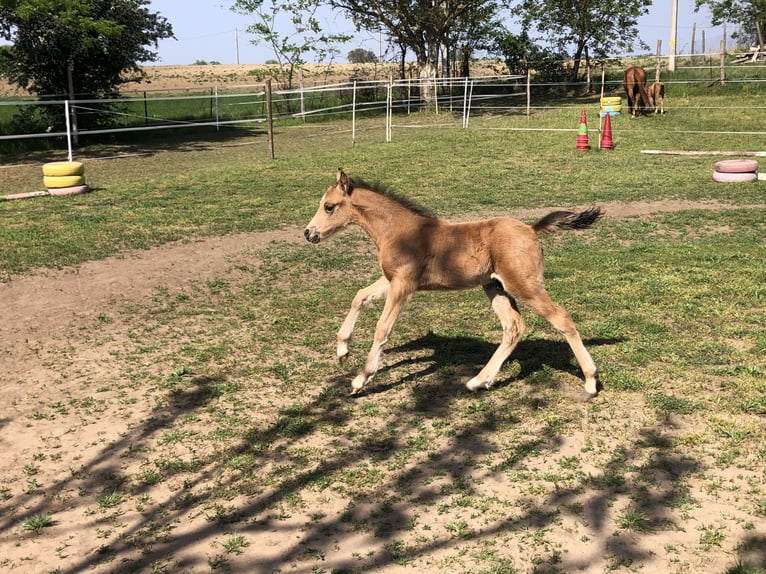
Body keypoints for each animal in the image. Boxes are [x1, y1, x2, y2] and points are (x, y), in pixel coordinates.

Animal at [304, 169, 604, 398]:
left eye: (329, 207)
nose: (309, 233)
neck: (399, 231)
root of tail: (531, 230)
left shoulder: (404, 284)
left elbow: (382, 328)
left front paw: (361, 378)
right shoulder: (393, 279)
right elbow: (360, 296)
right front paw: (342, 350)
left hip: (523, 285)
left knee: (561, 318)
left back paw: (590, 381)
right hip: (495, 287)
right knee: (513, 326)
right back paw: (478, 381)